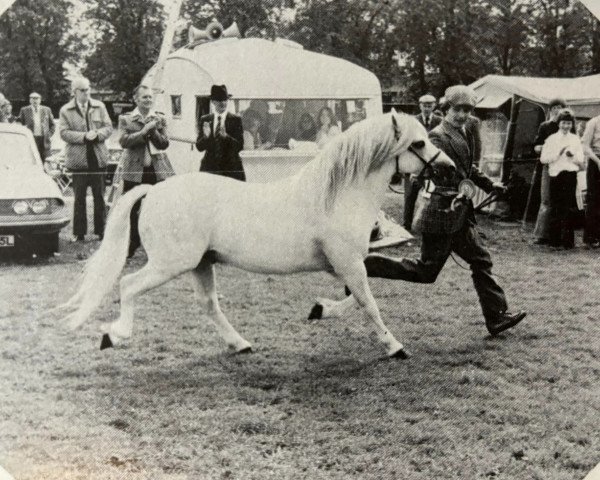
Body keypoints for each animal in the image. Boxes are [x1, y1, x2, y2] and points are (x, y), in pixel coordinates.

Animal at [57, 109, 454, 356]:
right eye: (419, 143)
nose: (450, 169)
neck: (337, 195)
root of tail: (153, 191)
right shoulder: (348, 263)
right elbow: (368, 302)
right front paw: (394, 347)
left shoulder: (347, 264)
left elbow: (357, 299)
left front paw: (319, 309)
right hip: (171, 263)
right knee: (127, 285)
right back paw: (114, 335)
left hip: (201, 263)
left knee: (208, 304)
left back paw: (240, 344)